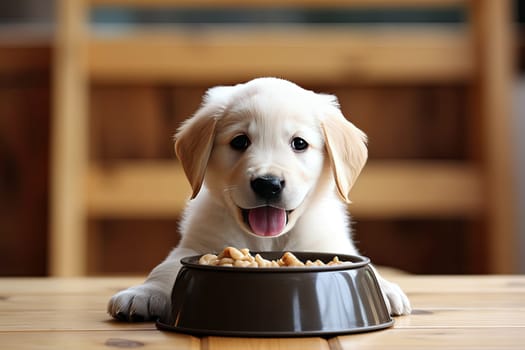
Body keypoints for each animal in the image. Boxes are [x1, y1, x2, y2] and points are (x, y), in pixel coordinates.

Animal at [106, 77, 410, 322]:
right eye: (240, 141)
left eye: (299, 143)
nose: (268, 184)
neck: (268, 240)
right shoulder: (196, 245)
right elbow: (166, 267)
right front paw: (143, 293)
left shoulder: (329, 243)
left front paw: (384, 288)